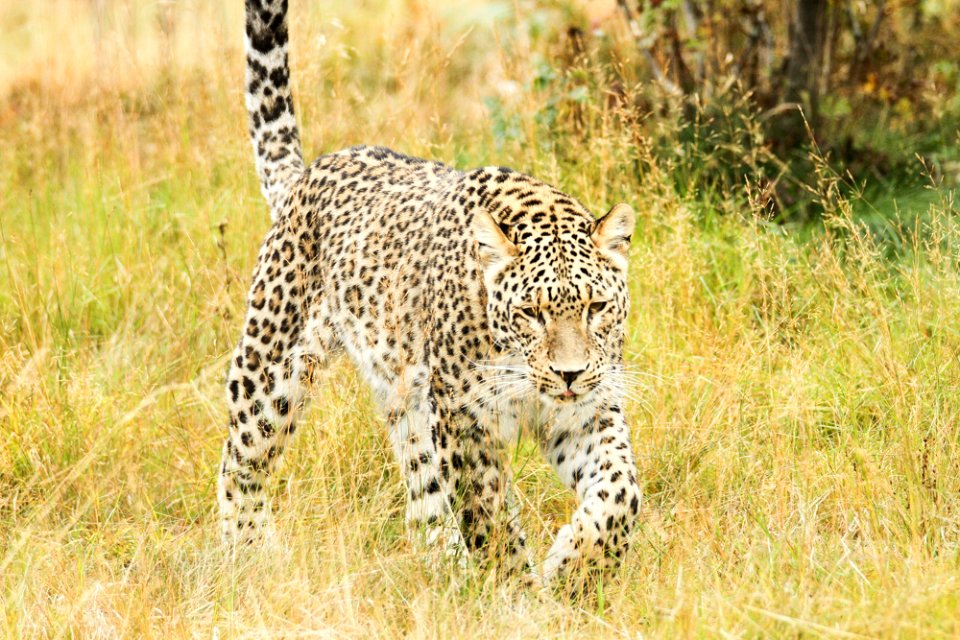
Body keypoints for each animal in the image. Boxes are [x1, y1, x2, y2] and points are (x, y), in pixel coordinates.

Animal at [220, 0, 640, 584]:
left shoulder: (587, 412)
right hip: (272, 363)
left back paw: (444, 569)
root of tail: (308, 173)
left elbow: (621, 492)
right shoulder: (465, 420)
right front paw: (515, 589)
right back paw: (243, 554)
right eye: (530, 313)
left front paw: (575, 569)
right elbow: (489, 515)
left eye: (596, 307)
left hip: (406, 401)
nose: (569, 374)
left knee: (423, 501)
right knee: (241, 461)